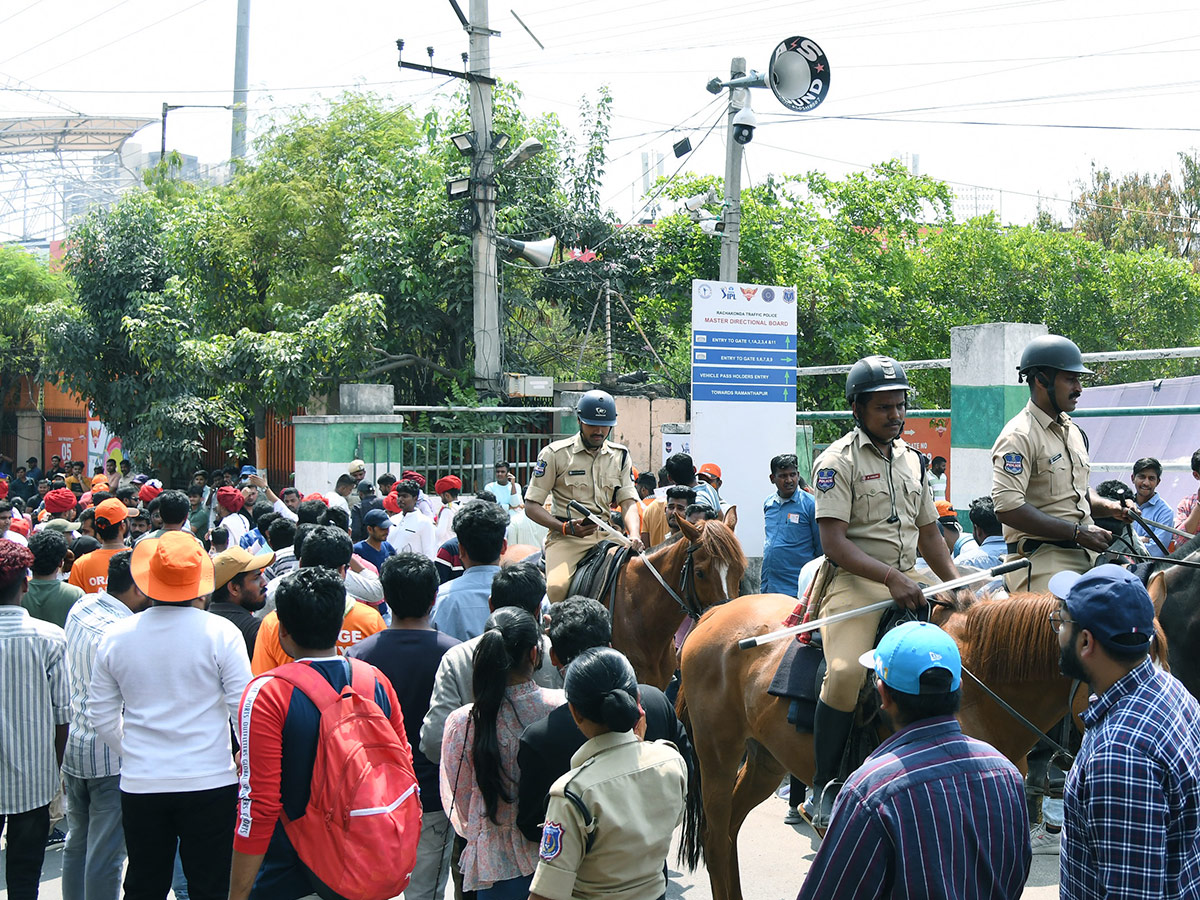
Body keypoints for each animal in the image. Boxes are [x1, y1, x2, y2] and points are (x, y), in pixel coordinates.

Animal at [681, 592, 1084, 900]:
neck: (973, 686)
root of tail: (715, 613)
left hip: (765, 760)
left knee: (730, 831)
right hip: (717, 753)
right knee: (715, 839)